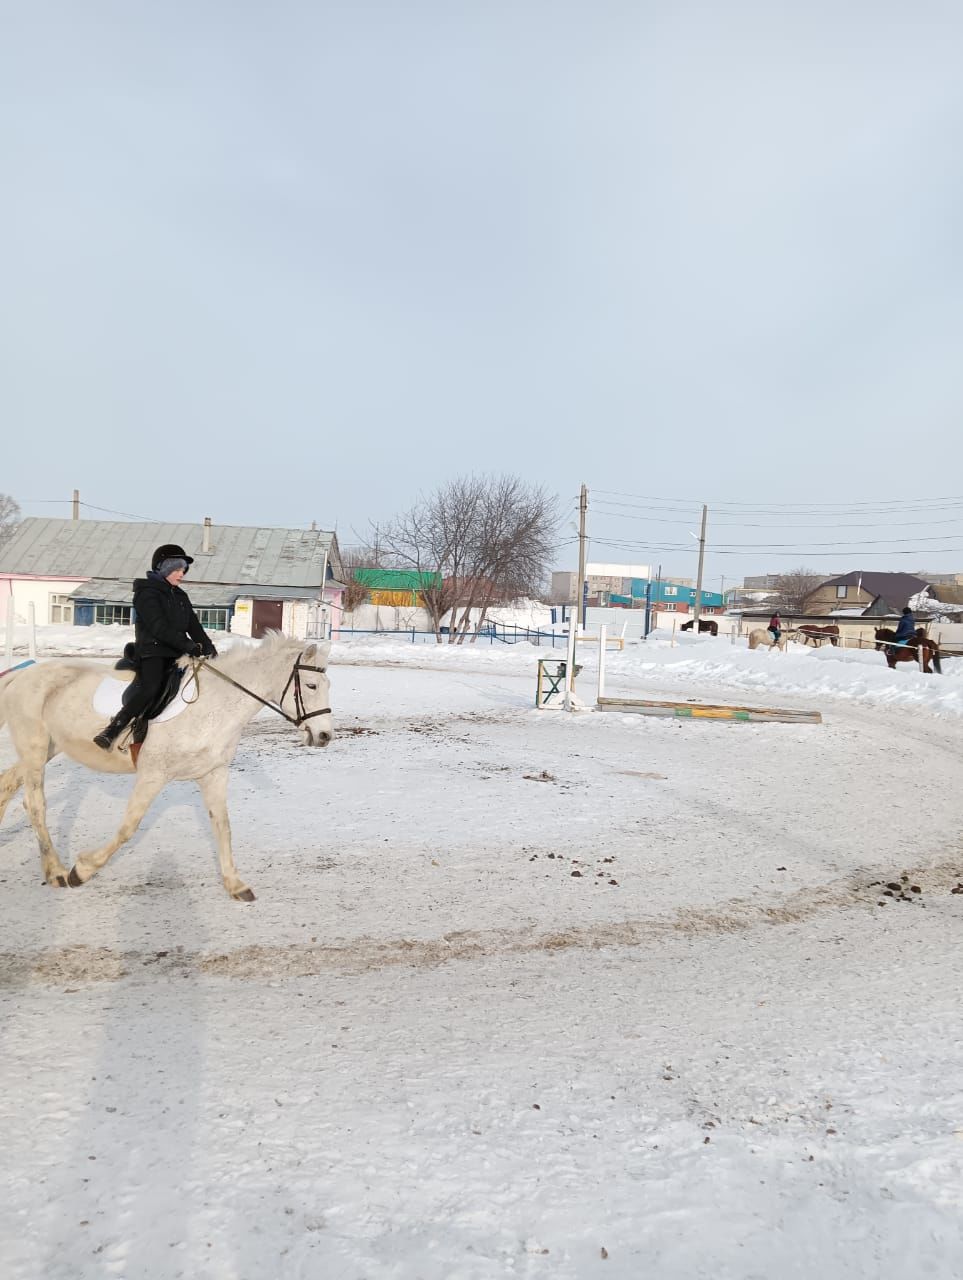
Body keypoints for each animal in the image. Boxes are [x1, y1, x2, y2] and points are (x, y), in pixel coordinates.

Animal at [0, 632, 330, 901]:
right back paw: (56, 871)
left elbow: (223, 827)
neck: (214, 707)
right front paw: (81, 871)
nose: (325, 736)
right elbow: (128, 828)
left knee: (8, 784)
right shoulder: (153, 775)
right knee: (35, 803)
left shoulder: (213, 774)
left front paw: (236, 885)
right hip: (34, 747)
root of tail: (24, 674)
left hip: (47, 748)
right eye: (312, 685)